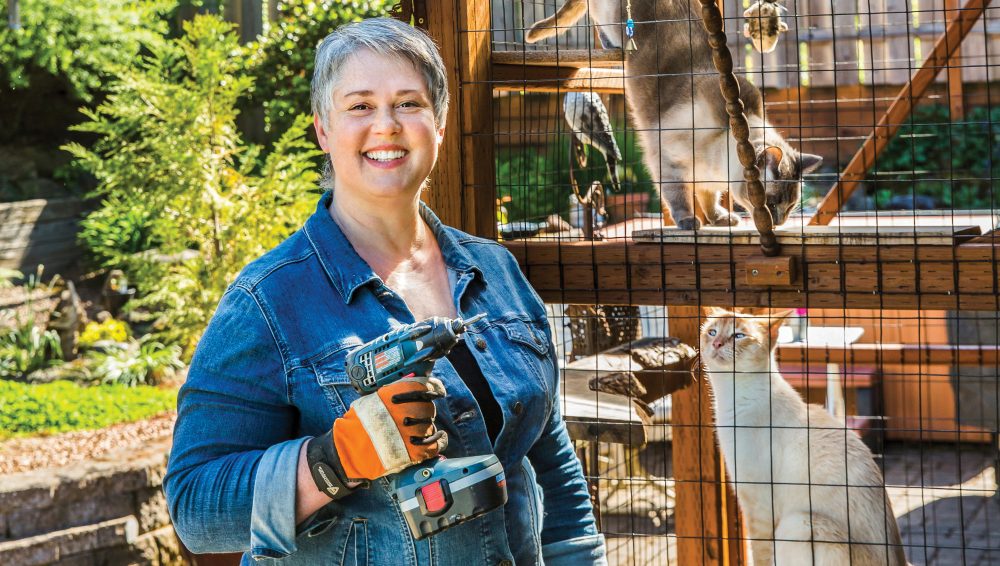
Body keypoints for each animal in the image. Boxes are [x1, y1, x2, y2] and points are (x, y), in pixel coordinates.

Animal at [524, 0, 820, 231]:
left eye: (790, 207)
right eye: (770, 203)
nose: (778, 223)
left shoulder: (708, 179)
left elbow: (710, 200)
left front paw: (719, 220)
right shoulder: (667, 162)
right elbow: (679, 199)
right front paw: (690, 223)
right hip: (608, 16)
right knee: (597, 23)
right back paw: (612, 47)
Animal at [704, 310, 908, 566]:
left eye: (738, 335)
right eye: (711, 332)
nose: (716, 343)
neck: (731, 398)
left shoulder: (759, 505)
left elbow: (760, 555)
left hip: (797, 524)